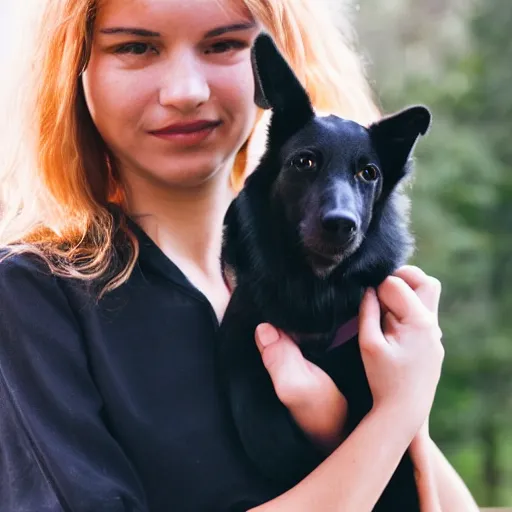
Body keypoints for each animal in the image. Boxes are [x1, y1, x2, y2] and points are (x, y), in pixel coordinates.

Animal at [216, 34, 432, 510]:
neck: (316, 289)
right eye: (304, 162)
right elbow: (263, 428)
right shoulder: (242, 342)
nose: (341, 224)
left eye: (368, 173)